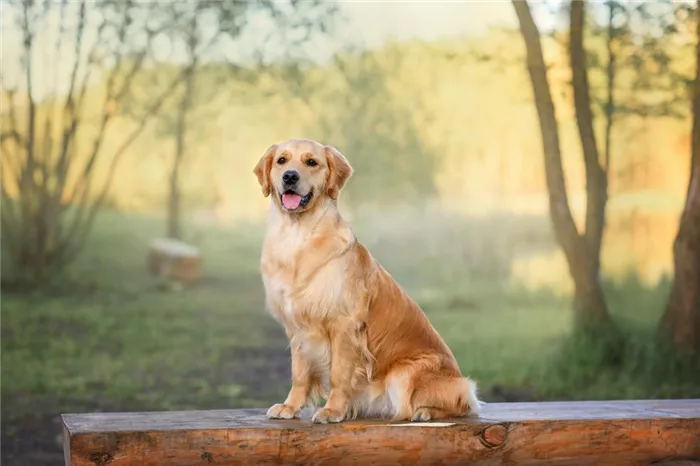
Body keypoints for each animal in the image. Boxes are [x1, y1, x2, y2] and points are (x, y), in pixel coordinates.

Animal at [256, 137, 482, 422]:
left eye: (311, 162)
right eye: (281, 161)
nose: (290, 176)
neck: (298, 237)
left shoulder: (344, 324)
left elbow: (339, 374)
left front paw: (332, 410)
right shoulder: (297, 327)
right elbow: (300, 373)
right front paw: (290, 406)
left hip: (406, 373)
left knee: (460, 403)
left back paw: (425, 412)